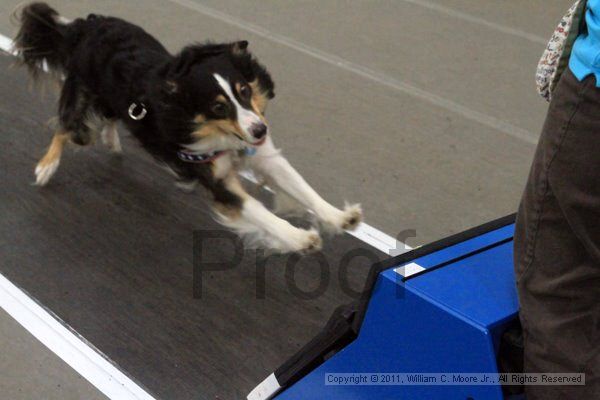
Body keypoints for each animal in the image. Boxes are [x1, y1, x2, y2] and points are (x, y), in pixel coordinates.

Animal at [14, 2, 360, 253]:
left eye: (244, 90)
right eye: (218, 107)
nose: (260, 130)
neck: (218, 133)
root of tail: (88, 25)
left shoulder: (264, 155)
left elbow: (301, 186)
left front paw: (340, 216)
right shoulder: (216, 180)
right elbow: (258, 210)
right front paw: (300, 238)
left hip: (113, 100)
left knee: (108, 119)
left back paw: (112, 140)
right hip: (83, 103)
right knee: (66, 127)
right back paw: (46, 166)